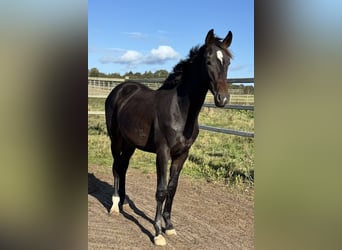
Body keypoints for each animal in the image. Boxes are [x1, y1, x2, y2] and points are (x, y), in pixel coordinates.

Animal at [105, 29, 232, 246]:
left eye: (228, 62)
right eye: (208, 61)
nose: (222, 98)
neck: (180, 111)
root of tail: (119, 89)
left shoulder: (182, 154)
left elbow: (172, 188)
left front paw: (169, 226)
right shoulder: (162, 153)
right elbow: (161, 190)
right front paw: (157, 233)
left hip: (130, 144)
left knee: (123, 167)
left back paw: (123, 202)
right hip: (116, 139)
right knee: (115, 168)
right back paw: (114, 205)